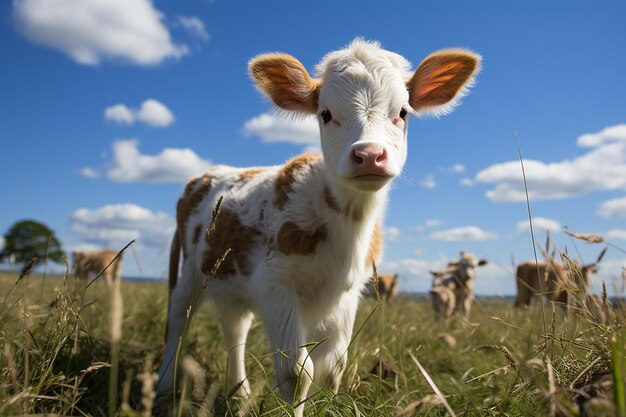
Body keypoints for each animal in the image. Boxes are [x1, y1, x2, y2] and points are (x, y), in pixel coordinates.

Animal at [156, 38, 478, 412]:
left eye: (403, 112)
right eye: (325, 114)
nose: (369, 155)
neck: (346, 230)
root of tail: (206, 175)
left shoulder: (349, 295)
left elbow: (334, 367)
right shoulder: (275, 284)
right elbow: (297, 372)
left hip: (226, 278)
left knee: (234, 327)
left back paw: (240, 393)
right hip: (190, 271)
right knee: (178, 320)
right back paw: (163, 387)